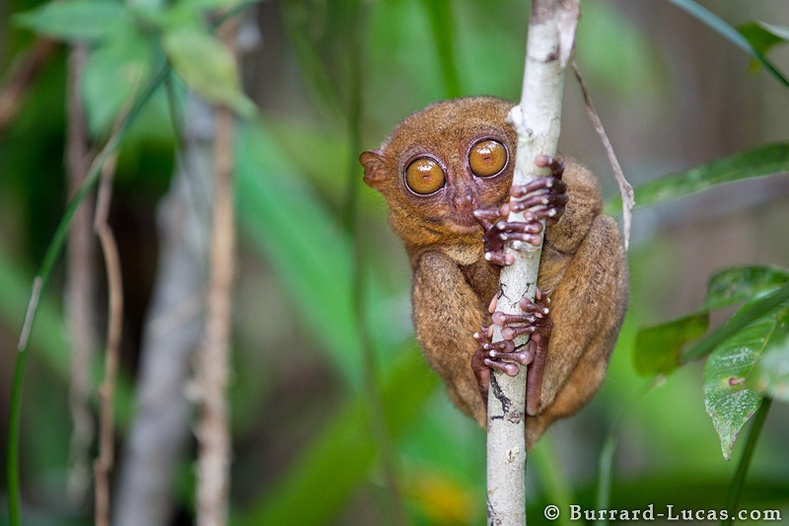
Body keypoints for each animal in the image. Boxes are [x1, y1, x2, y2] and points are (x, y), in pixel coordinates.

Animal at [360, 96, 629, 448]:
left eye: (486, 158)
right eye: (424, 177)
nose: (463, 198)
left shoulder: (570, 171)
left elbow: (589, 203)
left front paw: (553, 203)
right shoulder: (413, 242)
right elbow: (440, 257)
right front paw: (494, 242)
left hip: (587, 376)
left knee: (605, 231)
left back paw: (537, 372)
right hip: (463, 398)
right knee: (433, 267)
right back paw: (486, 372)